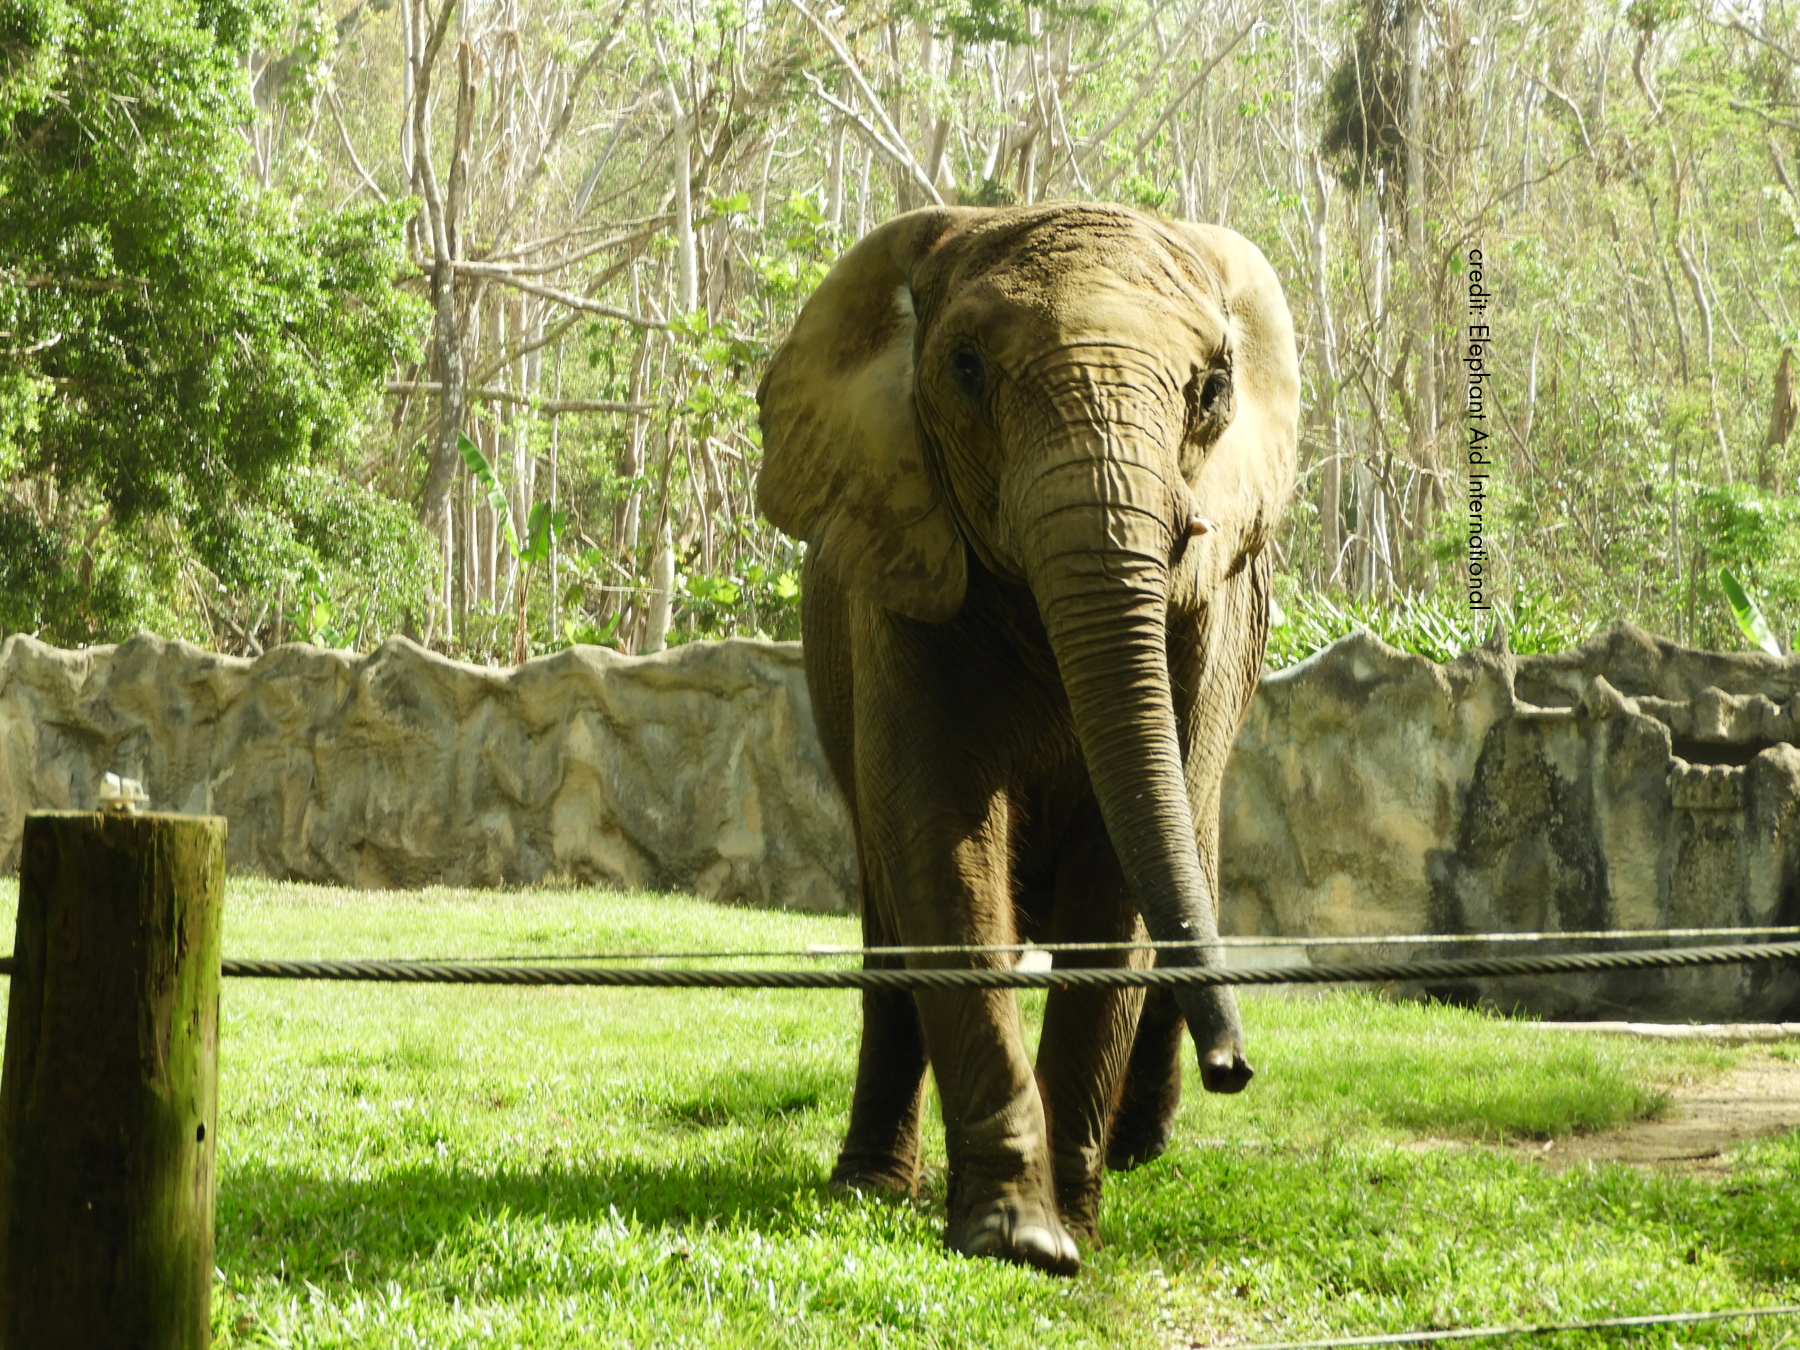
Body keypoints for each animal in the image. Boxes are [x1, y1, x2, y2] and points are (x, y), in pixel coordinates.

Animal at [754, 202, 1299, 1275]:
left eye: (1213, 387)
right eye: (965, 367)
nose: (1239, 1067)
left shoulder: (1205, 622)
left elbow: (1119, 878)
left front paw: (1067, 1227)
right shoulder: (904, 575)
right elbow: (946, 846)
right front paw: (1022, 1239)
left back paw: (1139, 1150)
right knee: (890, 924)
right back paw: (868, 1187)